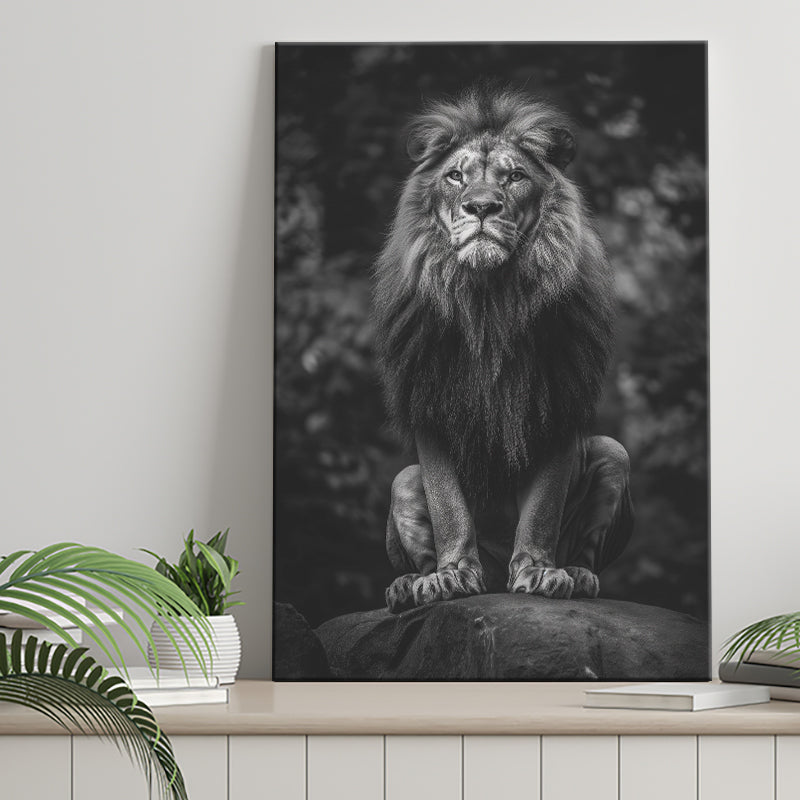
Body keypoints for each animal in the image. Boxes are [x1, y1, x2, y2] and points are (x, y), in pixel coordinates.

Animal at [373, 86, 634, 613]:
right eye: (455, 176)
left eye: (514, 177)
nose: (481, 207)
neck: (488, 300)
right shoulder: (429, 404)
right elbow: (449, 506)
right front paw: (452, 576)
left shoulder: (558, 405)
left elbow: (542, 508)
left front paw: (538, 571)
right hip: (403, 481)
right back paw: (409, 586)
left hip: (613, 453)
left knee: (588, 550)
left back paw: (577, 575)